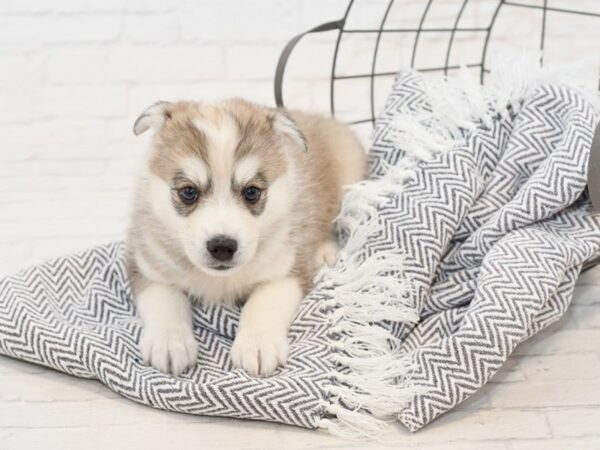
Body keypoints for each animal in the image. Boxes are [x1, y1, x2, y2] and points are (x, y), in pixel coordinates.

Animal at [126, 99, 366, 376]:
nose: (222, 246)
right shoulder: (146, 265)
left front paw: (258, 344)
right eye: (188, 192)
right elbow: (165, 300)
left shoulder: (286, 269)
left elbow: (264, 302)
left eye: (251, 192)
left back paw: (325, 251)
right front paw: (169, 340)